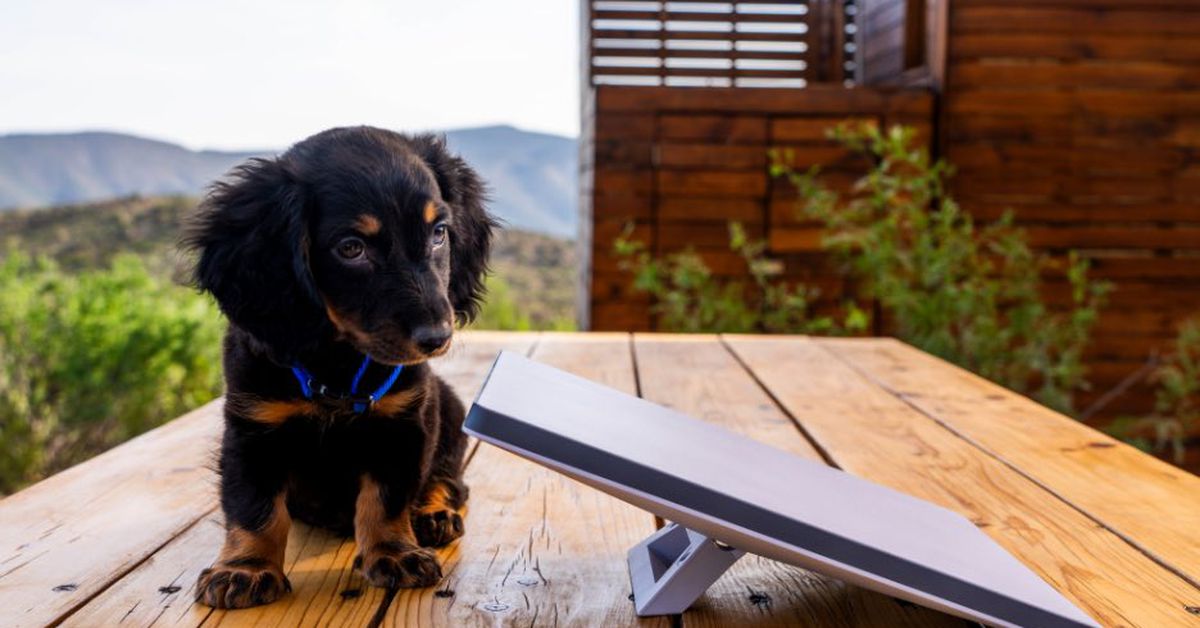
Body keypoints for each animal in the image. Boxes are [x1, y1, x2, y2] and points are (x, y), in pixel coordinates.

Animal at [184, 124, 494, 609]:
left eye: (439, 232)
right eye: (351, 248)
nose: (436, 337)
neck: (336, 368)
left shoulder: (401, 423)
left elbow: (386, 498)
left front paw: (393, 552)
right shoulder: (252, 429)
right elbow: (254, 506)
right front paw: (245, 568)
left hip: (448, 406)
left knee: (449, 479)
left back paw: (433, 514)